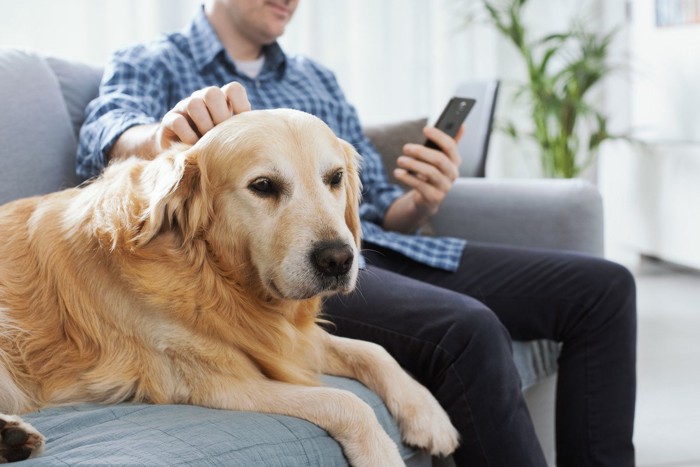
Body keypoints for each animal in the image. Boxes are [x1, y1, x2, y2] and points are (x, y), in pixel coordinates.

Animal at [0, 109, 460, 464]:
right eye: (263, 186)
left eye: (334, 178)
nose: (338, 260)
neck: (212, 273)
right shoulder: (219, 382)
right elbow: (347, 401)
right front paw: (381, 454)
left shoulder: (288, 341)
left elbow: (374, 350)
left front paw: (428, 414)